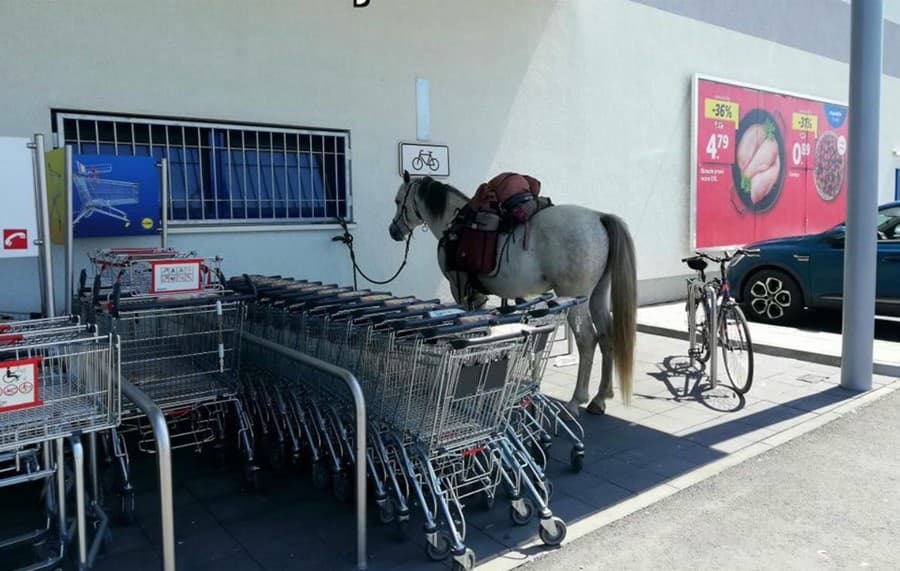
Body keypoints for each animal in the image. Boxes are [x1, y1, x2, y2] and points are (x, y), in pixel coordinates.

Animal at [390, 174, 636, 416]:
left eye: (398, 200)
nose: (393, 231)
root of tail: (598, 217)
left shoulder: (460, 290)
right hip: (598, 295)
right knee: (606, 337)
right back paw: (600, 398)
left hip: (576, 299)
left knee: (587, 340)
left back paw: (577, 400)